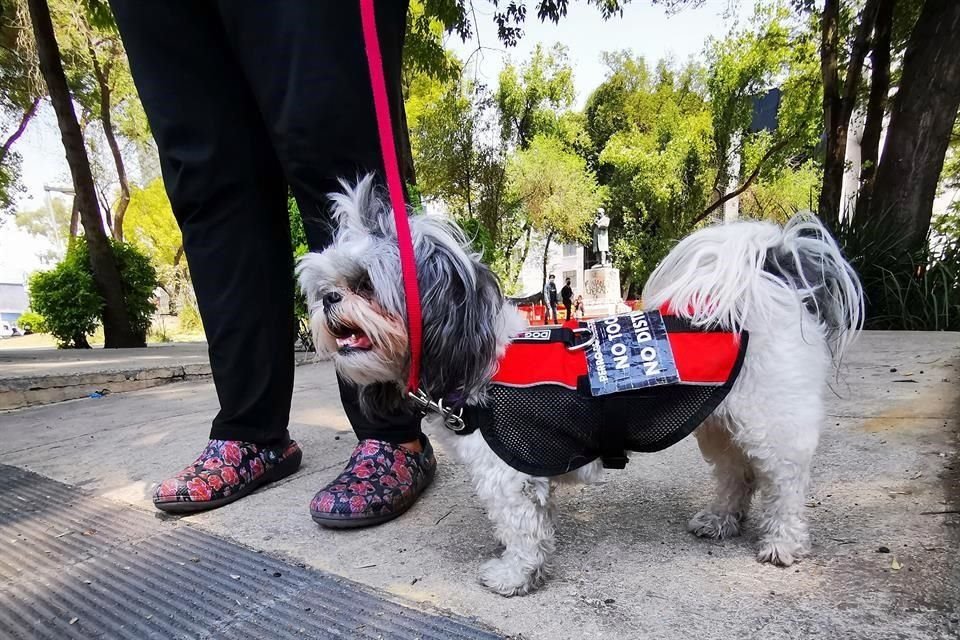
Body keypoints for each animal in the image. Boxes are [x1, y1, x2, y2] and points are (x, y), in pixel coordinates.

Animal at [298, 175, 864, 596]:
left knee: (784, 484)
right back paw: (722, 519)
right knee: (735, 474)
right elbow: (536, 524)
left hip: (772, 422)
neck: (475, 355)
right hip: (721, 421)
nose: (328, 299)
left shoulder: (506, 476)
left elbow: (520, 529)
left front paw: (514, 574)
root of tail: (772, 281)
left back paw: (783, 542)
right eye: (326, 284)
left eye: (365, 285)